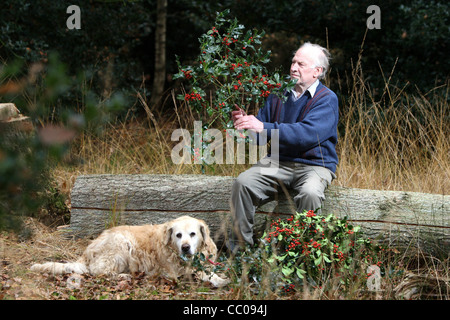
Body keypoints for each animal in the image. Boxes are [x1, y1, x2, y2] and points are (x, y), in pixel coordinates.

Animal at [29, 215, 229, 288]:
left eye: (193, 234)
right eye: (178, 235)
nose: (185, 247)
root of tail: (87, 252)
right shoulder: (174, 272)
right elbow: (205, 274)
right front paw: (221, 281)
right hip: (122, 243)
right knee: (99, 272)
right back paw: (123, 276)